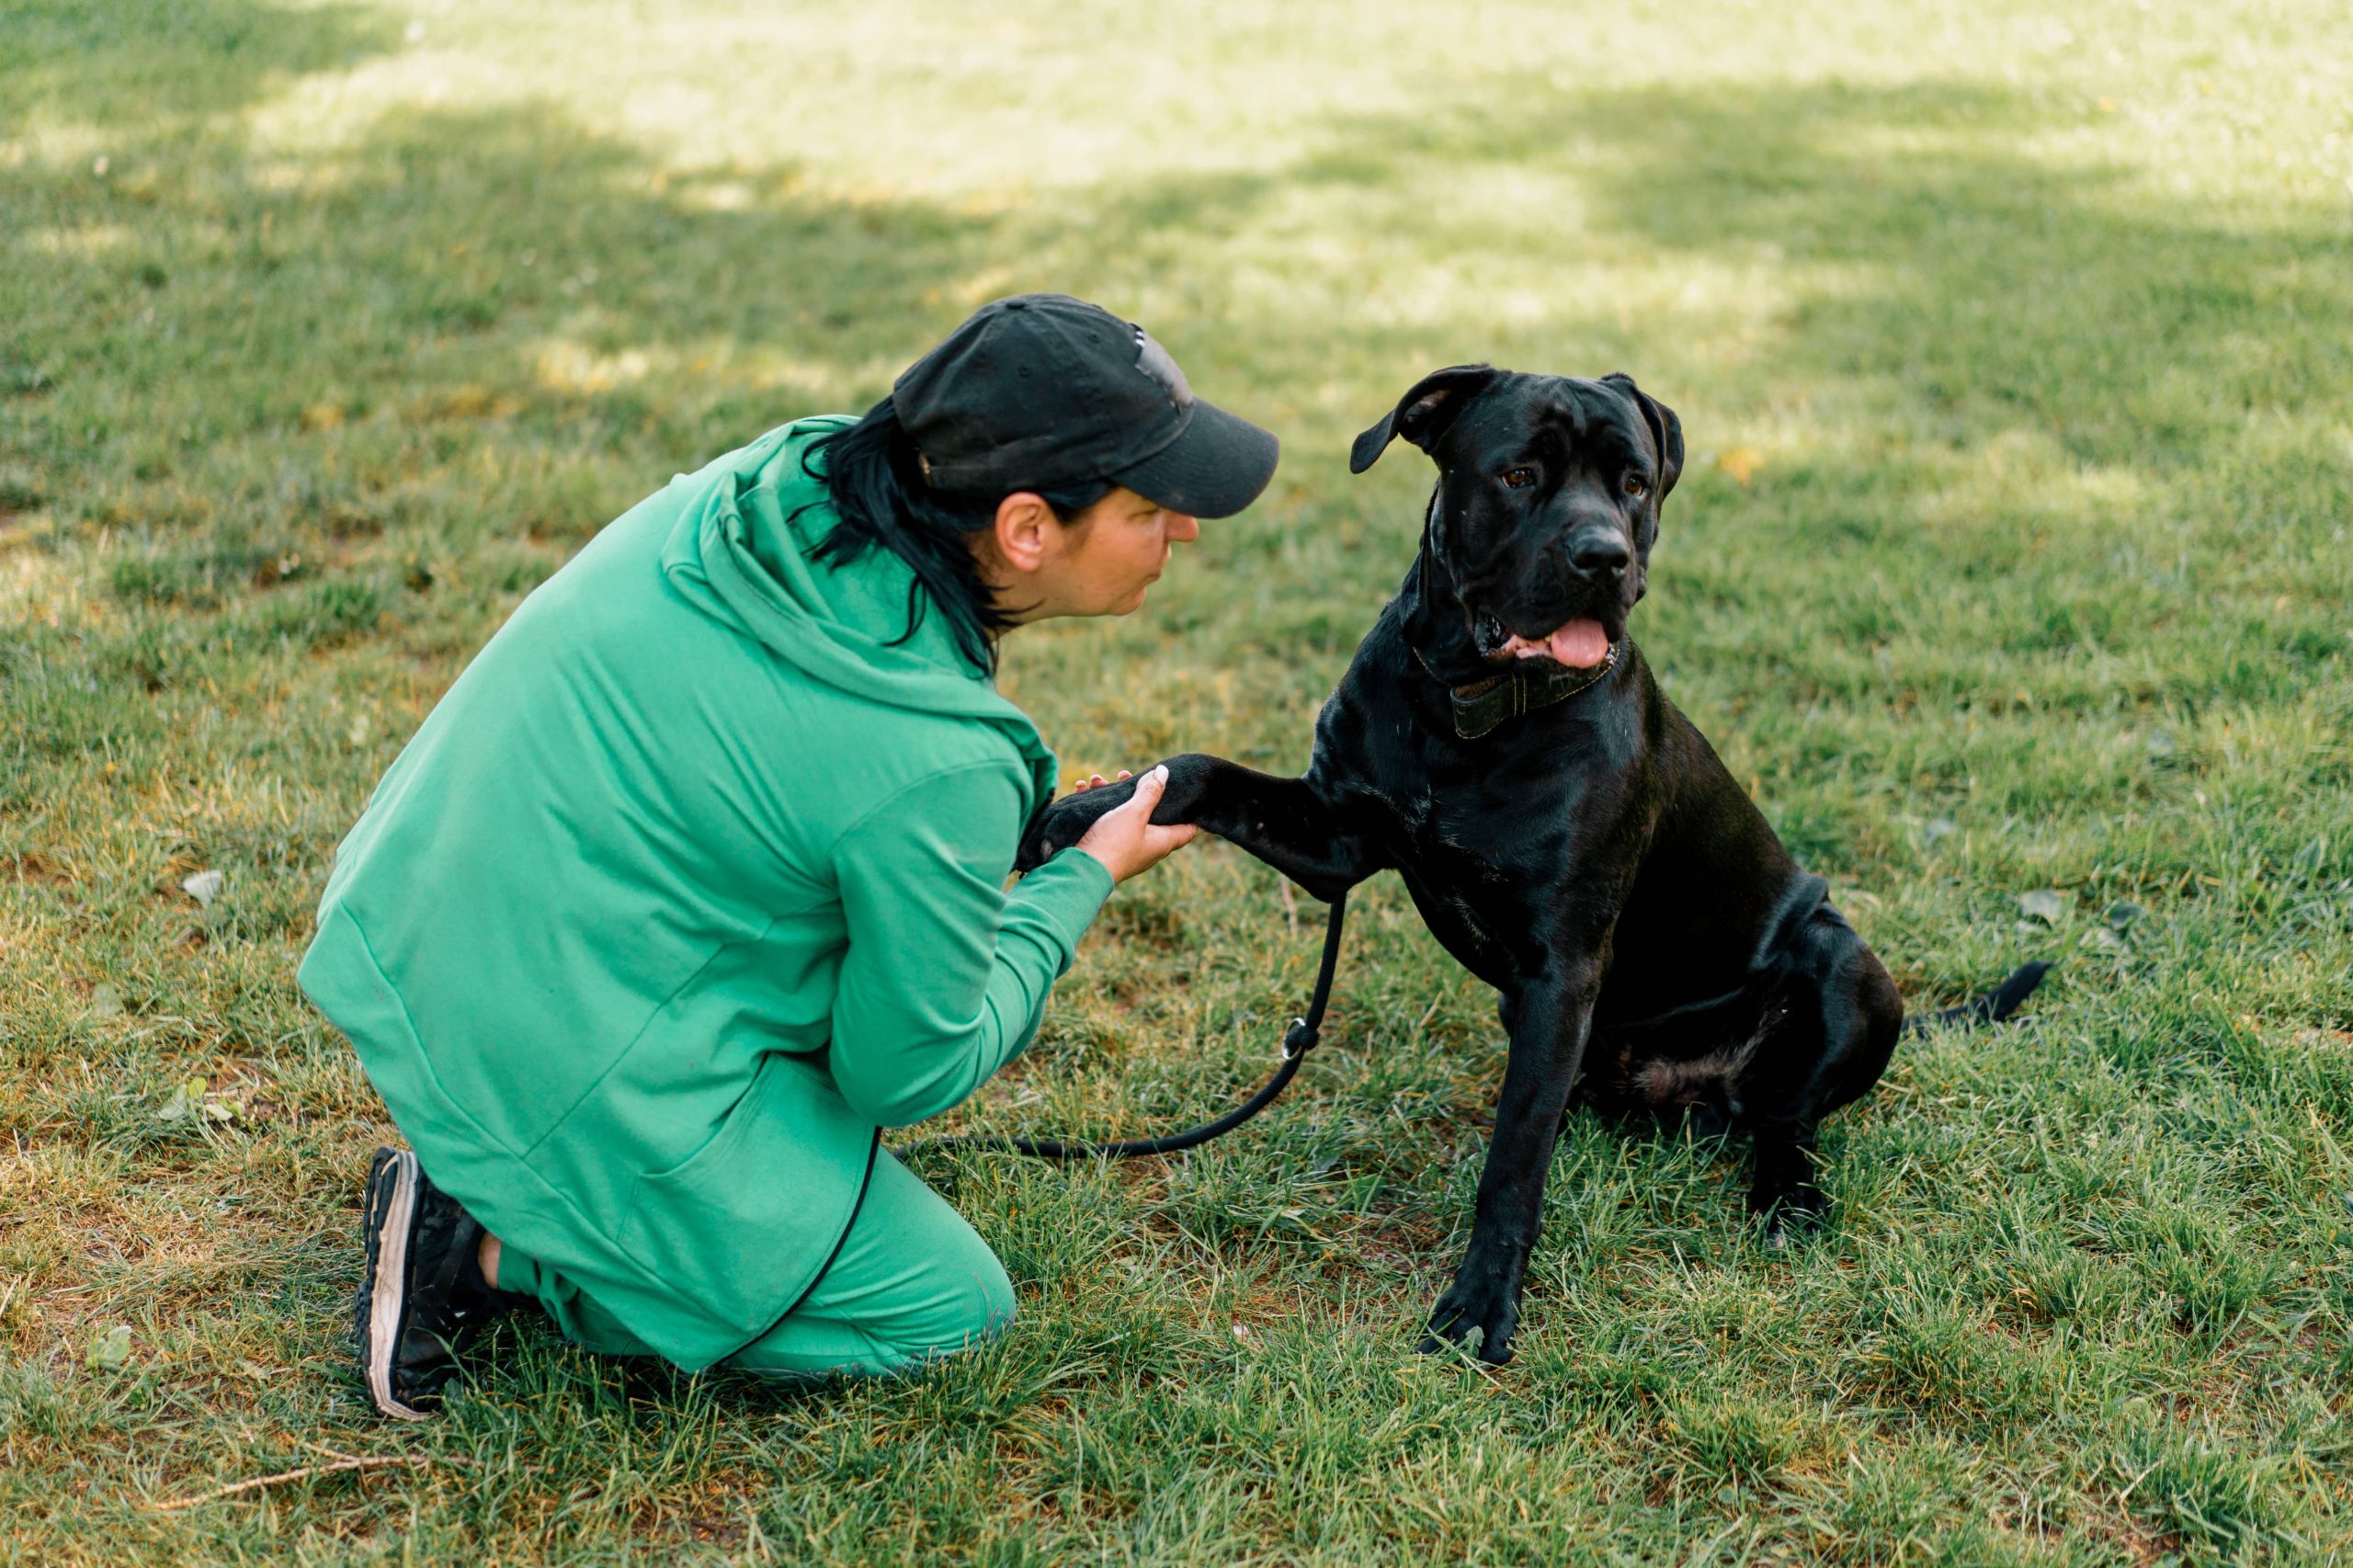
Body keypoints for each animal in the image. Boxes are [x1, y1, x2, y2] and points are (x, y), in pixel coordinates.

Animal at [1021, 362, 2052, 1356]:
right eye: (1518, 475)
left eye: (1633, 483)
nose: (1604, 556)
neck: (1467, 709)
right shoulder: (1334, 837)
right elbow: (1198, 770)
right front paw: (1087, 810)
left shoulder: (1561, 965)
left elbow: (1513, 1163)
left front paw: (1482, 1303)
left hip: (1840, 962)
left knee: (1785, 1118)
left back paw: (1785, 1196)